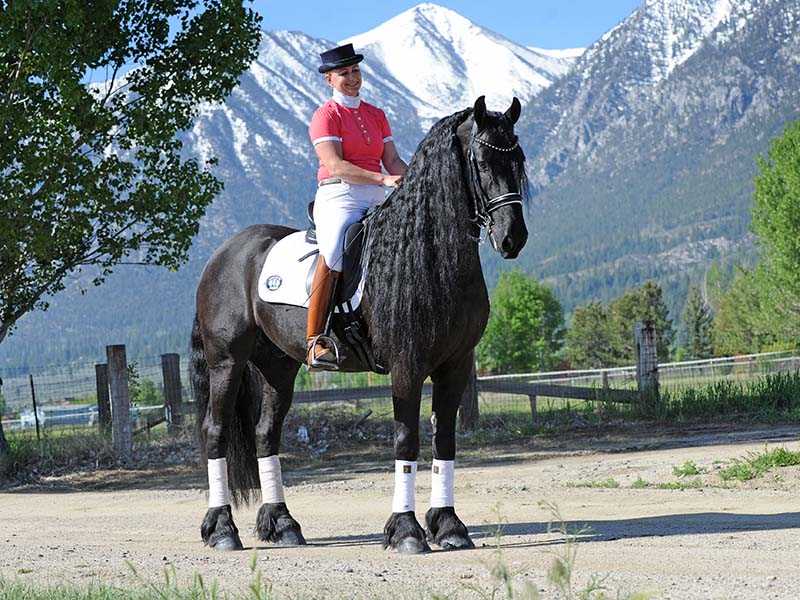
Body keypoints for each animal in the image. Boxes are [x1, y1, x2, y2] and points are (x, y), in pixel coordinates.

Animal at [190, 95, 529, 554]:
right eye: (481, 161)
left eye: (518, 159)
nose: (513, 238)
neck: (426, 254)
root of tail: (224, 253)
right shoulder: (407, 365)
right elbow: (406, 439)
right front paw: (406, 531)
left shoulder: (456, 364)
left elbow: (444, 439)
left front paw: (450, 527)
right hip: (226, 362)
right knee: (216, 431)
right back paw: (223, 529)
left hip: (278, 366)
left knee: (265, 433)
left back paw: (283, 525)